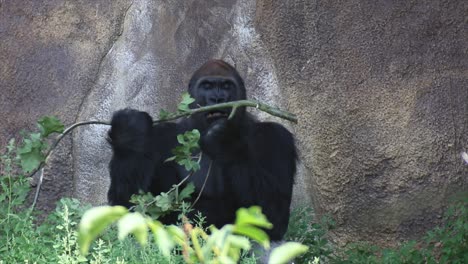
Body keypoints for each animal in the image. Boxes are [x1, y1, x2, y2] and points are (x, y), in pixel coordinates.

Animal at [107, 59, 296, 241]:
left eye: (226, 86)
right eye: (207, 86)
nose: (217, 98)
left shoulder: (278, 138)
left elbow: (273, 215)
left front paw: (226, 142)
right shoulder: (159, 138)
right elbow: (130, 207)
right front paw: (128, 133)